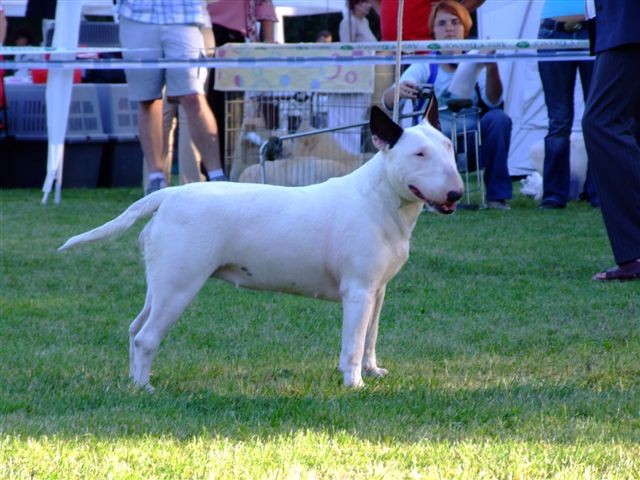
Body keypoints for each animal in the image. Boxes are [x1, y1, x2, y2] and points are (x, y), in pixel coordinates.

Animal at [60, 107, 464, 392]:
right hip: (180, 284)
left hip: (161, 284)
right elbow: (352, 342)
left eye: (448, 146)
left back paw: (133, 382)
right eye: (418, 154)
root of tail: (170, 195)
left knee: (134, 328)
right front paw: (355, 384)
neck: (379, 198)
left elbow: (370, 337)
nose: (456, 194)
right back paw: (147, 388)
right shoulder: (358, 291)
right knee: (146, 337)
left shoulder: (377, 291)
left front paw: (373, 371)